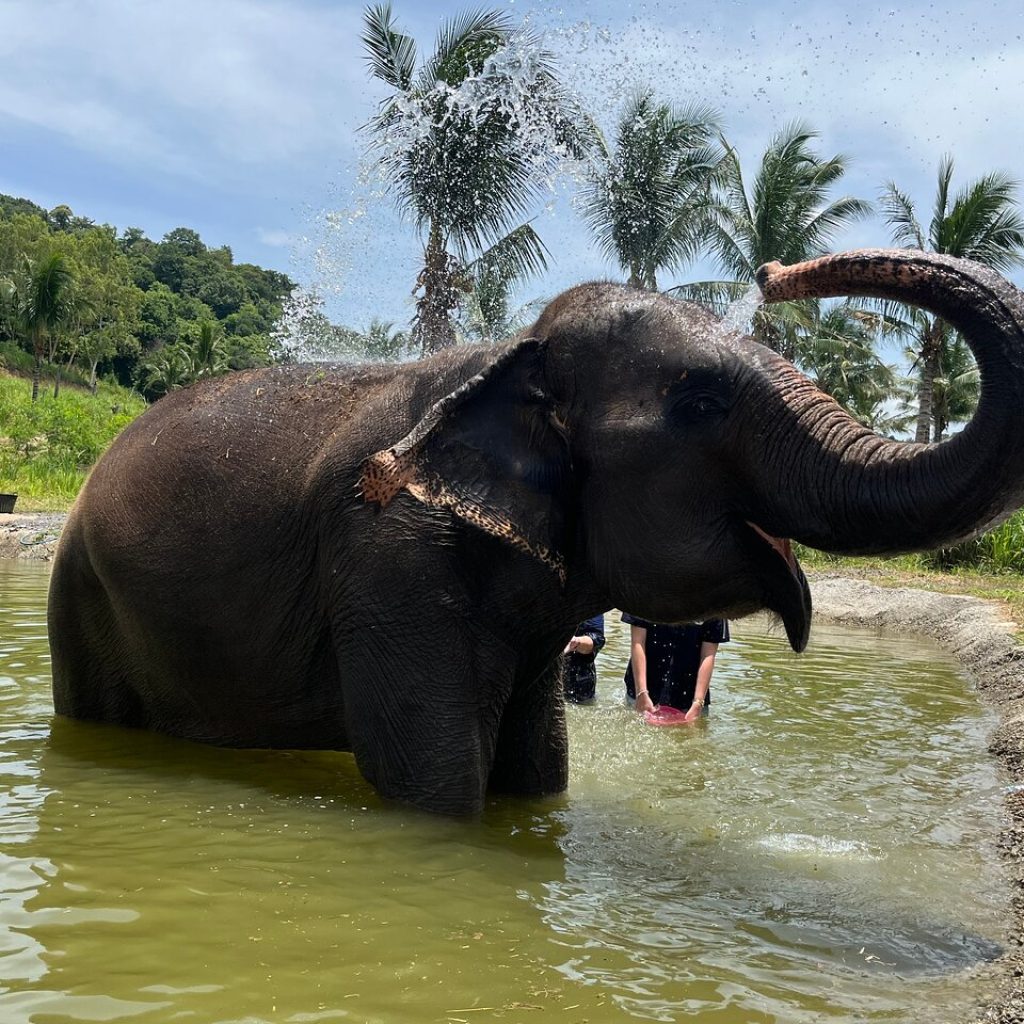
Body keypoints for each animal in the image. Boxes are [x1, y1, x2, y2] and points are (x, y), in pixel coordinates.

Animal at [48, 248, 1024, 815]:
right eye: (701, 406)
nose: (777, 269)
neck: (507, 354)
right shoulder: (391, 558)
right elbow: (432, 785)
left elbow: (540, 769)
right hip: (81, 590)